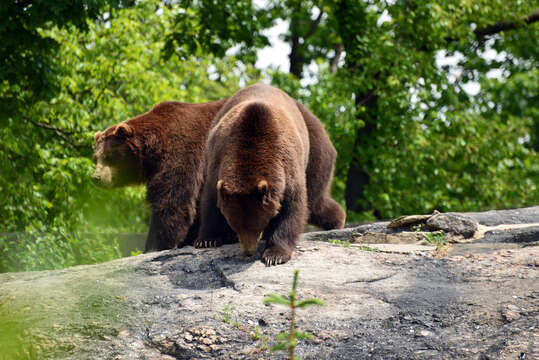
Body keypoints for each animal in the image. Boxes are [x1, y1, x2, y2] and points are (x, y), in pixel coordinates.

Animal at [92, 98, 235, 250]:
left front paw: (155, 245)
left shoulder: (183, 151)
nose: (96, 178)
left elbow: (171, 199)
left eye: (108, 157)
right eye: (95, 158)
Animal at [196, 83, 344, 264]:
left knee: (315, 201)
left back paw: (337, 221)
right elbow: (210, 201)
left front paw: (275, 255)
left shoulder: (288, 167)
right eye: (235, 224)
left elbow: (292, 208)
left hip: (316, 154)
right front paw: (207, 239)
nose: (248, 251)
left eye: (256, 225)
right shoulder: (218, 160)